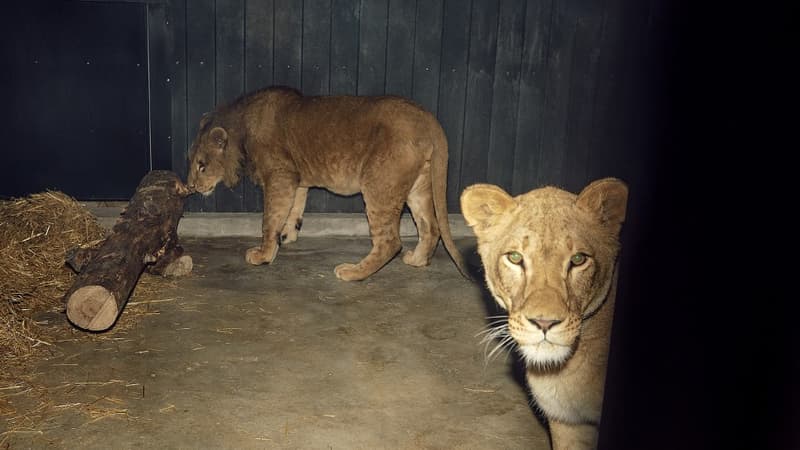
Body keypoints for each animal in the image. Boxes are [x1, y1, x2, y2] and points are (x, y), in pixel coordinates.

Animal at [186, 86, 467, 281]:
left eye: (202, 165)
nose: (190, 187)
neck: (242, 130)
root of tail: (428, 120)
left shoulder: (279, 175)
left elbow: (270, 218)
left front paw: (263, 255)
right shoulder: (295, 179)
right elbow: (293, 210)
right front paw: (286, 237)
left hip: (379, 184)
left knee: (390, 241)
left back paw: (353, 272)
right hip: (418, 186)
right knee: (430, 226)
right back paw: (417, 260)